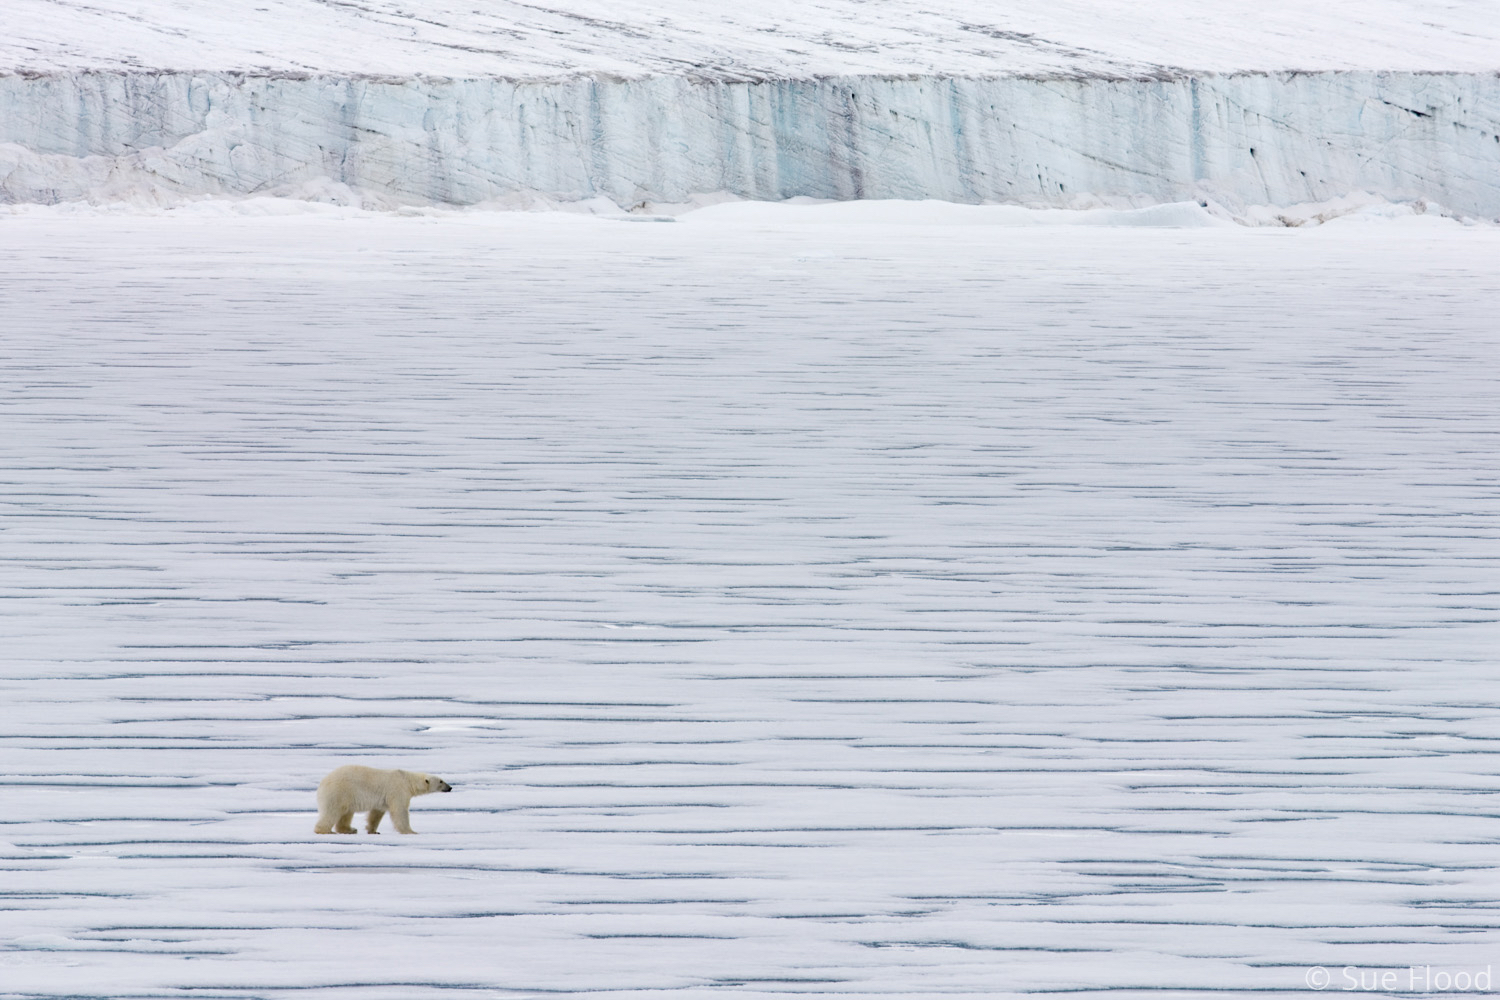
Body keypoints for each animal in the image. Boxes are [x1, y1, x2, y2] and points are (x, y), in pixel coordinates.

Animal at [315, 767, 450, 839]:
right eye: (441, 781)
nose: (450, 787)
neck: (407, 780)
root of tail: (323, 782)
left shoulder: (382, 801)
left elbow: (376, 813)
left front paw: (373, 830)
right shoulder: (398, 790)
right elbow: (400, 811)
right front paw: (411, 831)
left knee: (346, 813)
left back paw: (350, 829)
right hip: (339, 792)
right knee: (332, 811)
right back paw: (326, 831)